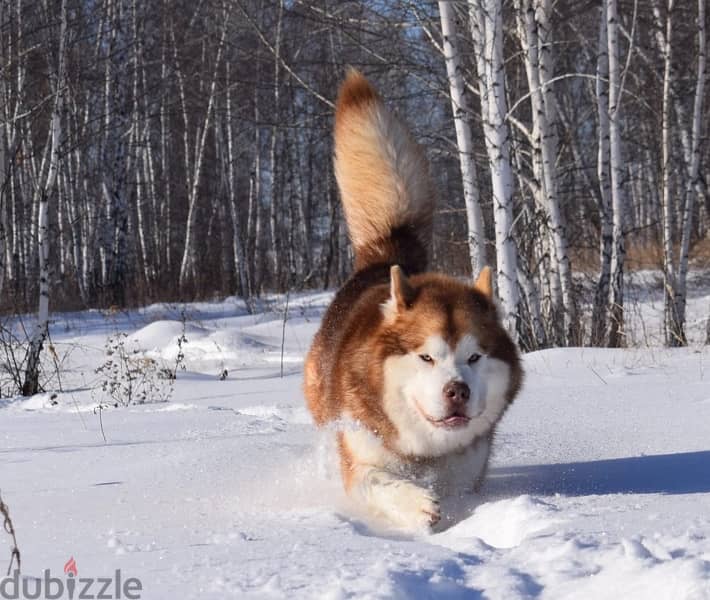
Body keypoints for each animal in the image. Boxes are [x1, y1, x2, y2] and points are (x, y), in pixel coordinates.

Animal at [304, 70, 524, 536]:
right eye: (426, 357)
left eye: (474, 357)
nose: (457, 391)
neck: (425, 451)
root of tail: (389, 253)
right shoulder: (362, 452)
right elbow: (379, 482)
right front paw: (416, 504)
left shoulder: (467, 469)